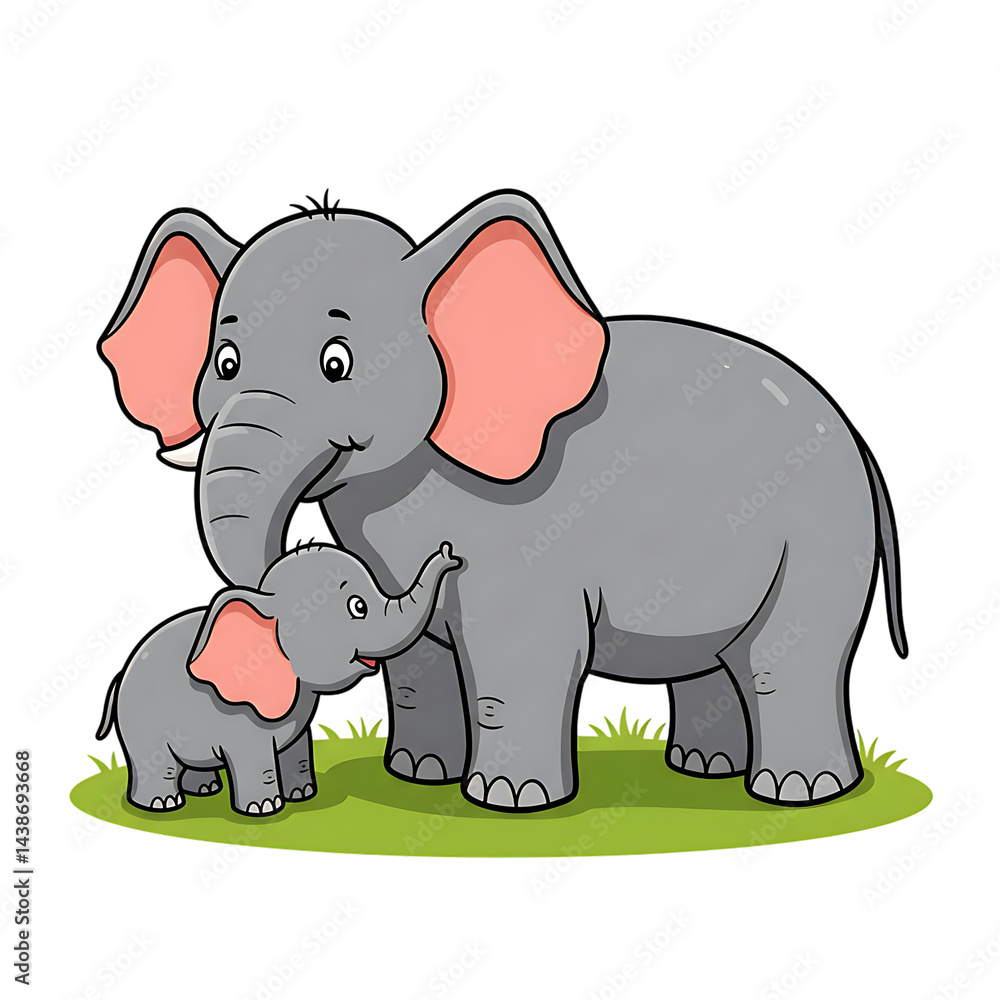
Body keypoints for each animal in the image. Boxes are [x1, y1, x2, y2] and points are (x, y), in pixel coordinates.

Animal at [96, 540, 461, 814]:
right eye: (357, 607)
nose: (449, 553)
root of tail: (120, 673)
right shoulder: (242, 718)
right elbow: (254, 755)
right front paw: (264, 809)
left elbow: (296, 746)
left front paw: (303, 795)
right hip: (142, 722)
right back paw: (162, 804)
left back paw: (205, 789)